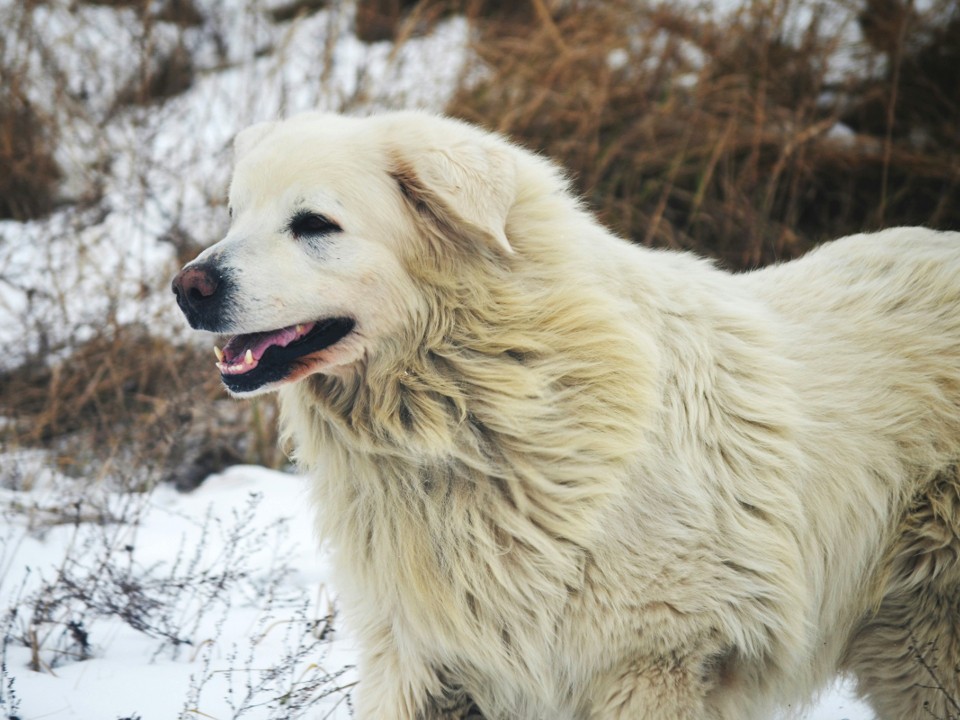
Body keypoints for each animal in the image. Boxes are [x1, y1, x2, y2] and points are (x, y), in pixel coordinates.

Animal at [172, 112, 960, 720]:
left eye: (314, 224)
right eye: (235, 215)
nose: (188, 287)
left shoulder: (653, 663)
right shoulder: (425, 663)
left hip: (923, 651)